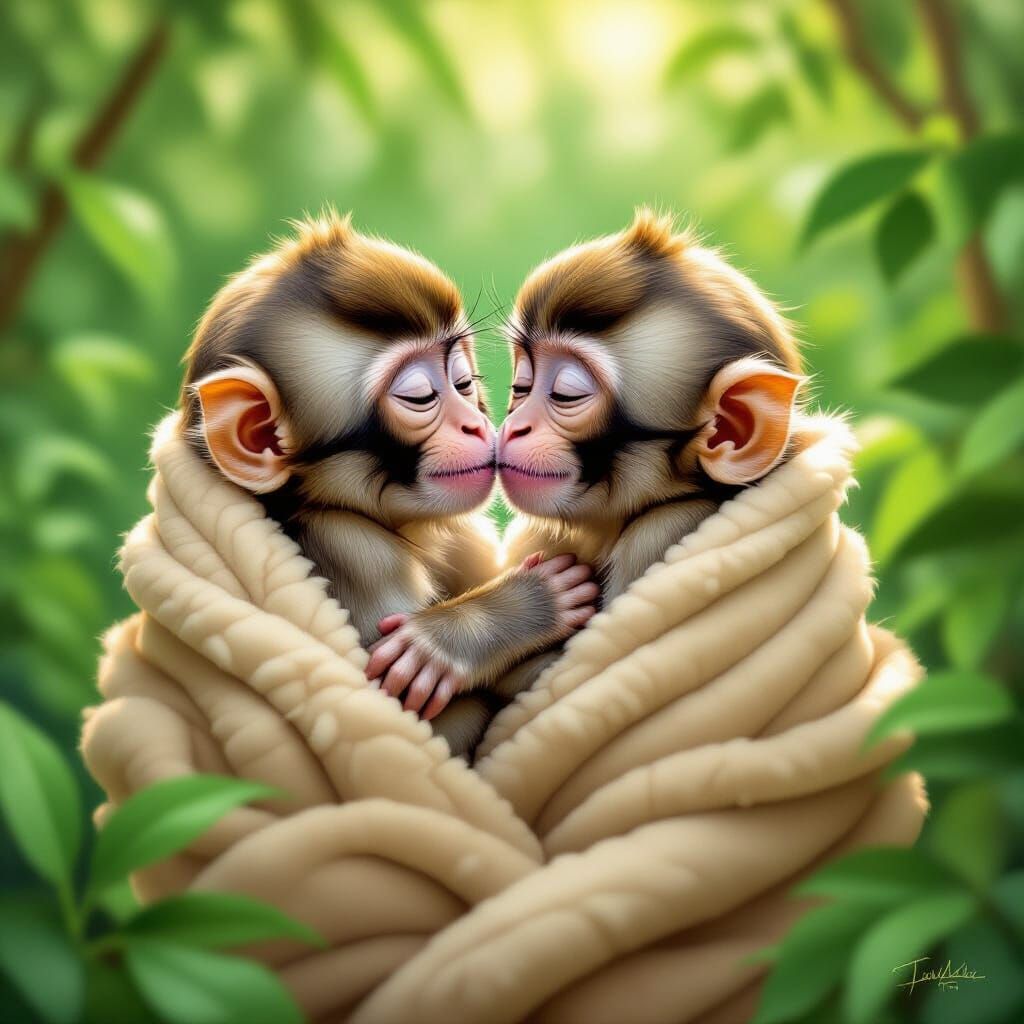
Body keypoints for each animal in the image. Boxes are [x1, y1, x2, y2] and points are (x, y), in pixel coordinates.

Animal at [181, 212, 598, 756]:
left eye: (463, 382)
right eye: (419, 396)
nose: (476, 425)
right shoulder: (354, 549)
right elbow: (408, 725)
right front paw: (514, 610)